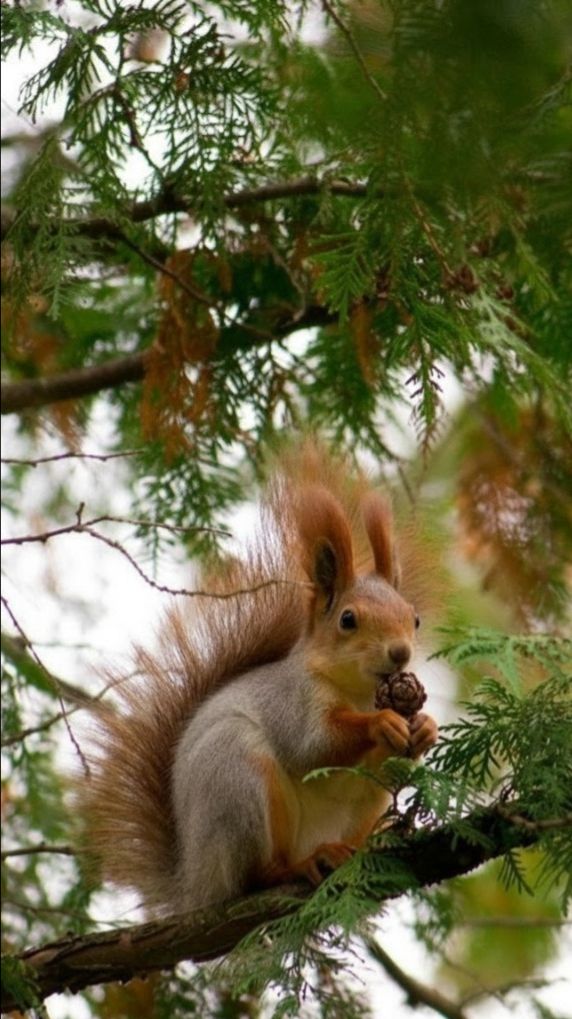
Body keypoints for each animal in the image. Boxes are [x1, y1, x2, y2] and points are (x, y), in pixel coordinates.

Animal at [81, 440, 438, 916]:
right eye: (347, 620)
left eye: (413, 619)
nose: (400, 653)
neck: (360, 692)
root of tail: (195, 884)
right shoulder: (291, 702)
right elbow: (313, 744)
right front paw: (380, 724)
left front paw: (426, 729)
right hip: (236, 780)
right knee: (256, 873)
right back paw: (299, 865)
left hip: (359, 807)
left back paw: (354, 850)